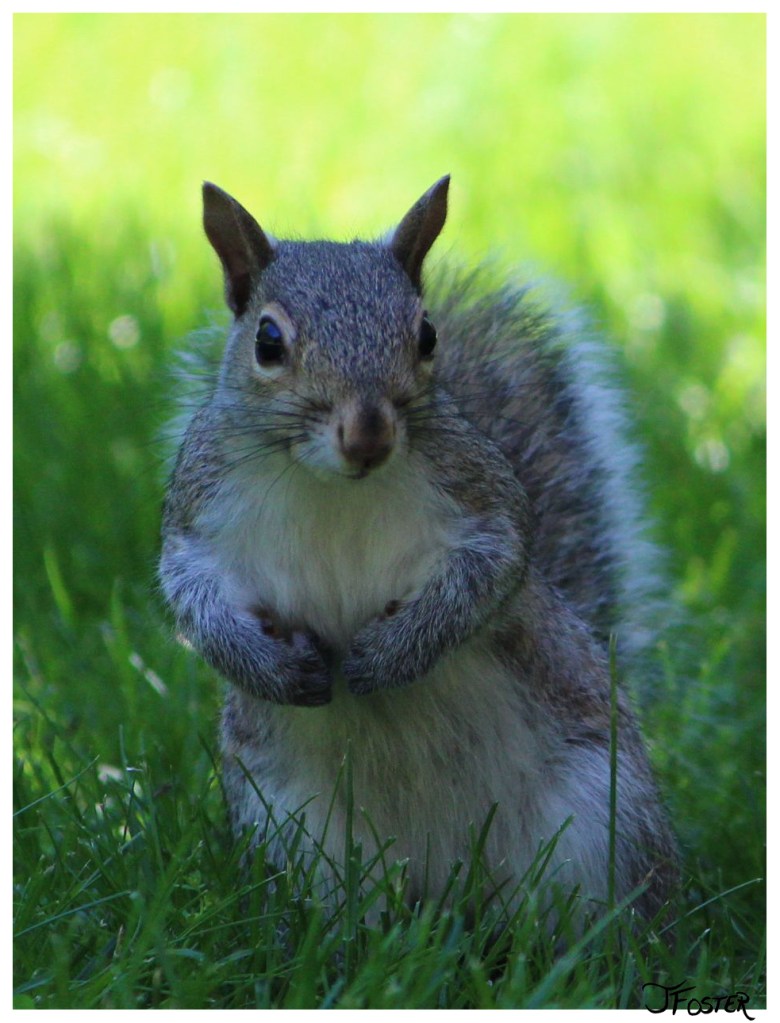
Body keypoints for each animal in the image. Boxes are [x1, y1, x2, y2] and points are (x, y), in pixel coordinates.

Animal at [160, 176, 678, 920]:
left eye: (427, 333)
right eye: (268, 341)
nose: (367, 433)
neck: (333, 486)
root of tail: (446, 879)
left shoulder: (483, 501)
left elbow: (483, 578)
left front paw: (390, 655)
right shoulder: (197, 517)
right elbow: (195, 603)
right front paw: (275, 670)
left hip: (599, 822)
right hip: (298, 831)